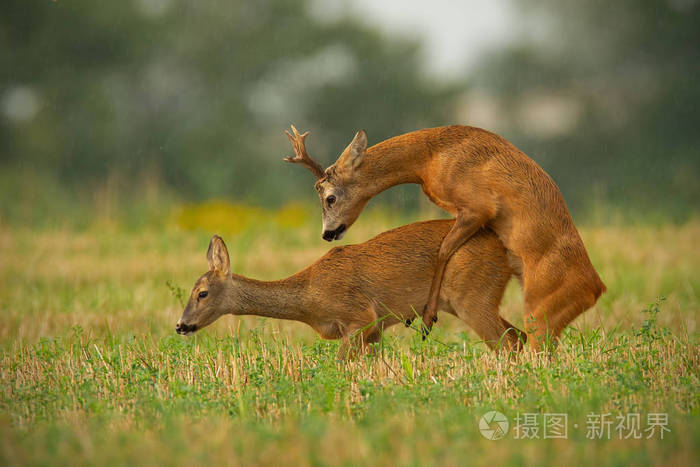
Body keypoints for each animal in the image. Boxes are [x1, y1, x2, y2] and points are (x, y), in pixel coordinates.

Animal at [176, 221, 526, 357]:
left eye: (202, 293)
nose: (180, 325)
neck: (309, 297)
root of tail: (506, 251)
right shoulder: (373, 331)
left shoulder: (360, 317)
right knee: (519, 336)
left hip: (472, 297)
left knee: (507, 343)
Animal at [283, 124, 606, 350]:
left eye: (330, 197)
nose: (327, 233)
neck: (430, 157)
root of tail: (596, 288)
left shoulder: (478, 207)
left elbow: (443, 249)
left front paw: (427, 318)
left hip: (540, 312)